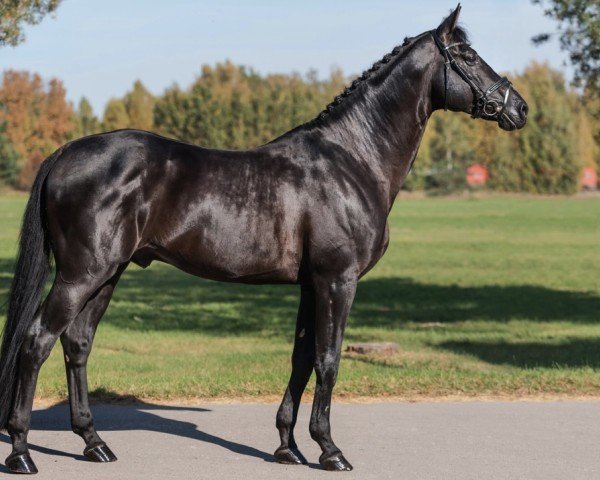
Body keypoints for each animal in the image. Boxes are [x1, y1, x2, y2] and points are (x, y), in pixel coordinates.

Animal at [0, 3, 524, 474]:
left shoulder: (312, 285)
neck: (353, 159)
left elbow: (301, 359)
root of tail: (67, 152)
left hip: (109, 273)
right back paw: (22, 452)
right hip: (80, 274)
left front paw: (288, 447)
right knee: (37, 341)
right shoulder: (338, 280)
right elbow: (329, 360)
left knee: (77, 344)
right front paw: (330, 451)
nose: (518, 107)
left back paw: (94, 443)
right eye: (468, 55)